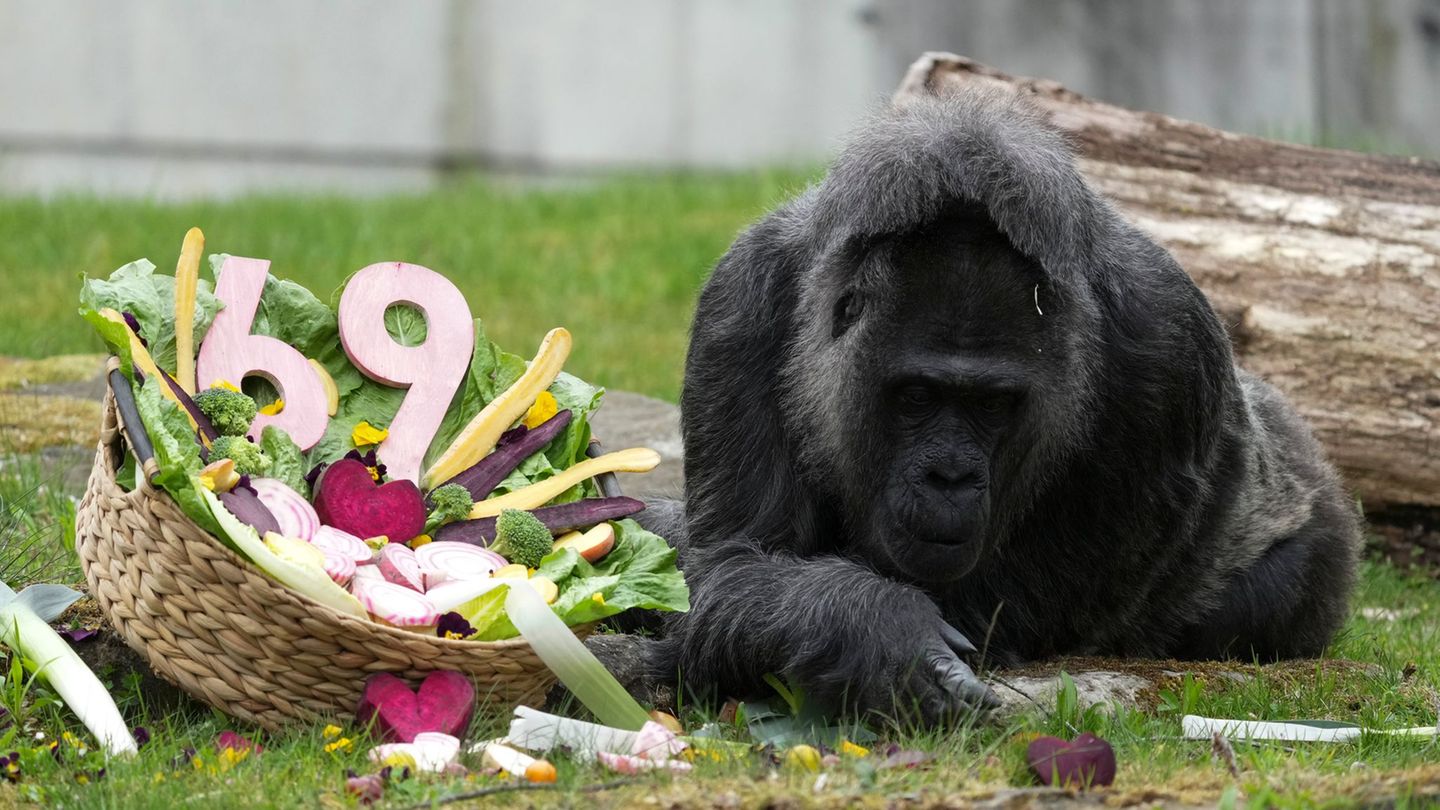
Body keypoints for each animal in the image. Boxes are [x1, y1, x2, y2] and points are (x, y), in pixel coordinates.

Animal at [637, 89, 1363, 724]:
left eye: (992, 405)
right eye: (917, 397)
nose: (950, 476)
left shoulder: (1169, 341)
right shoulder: (742, 298)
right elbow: (737, 567)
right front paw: (869, 631)